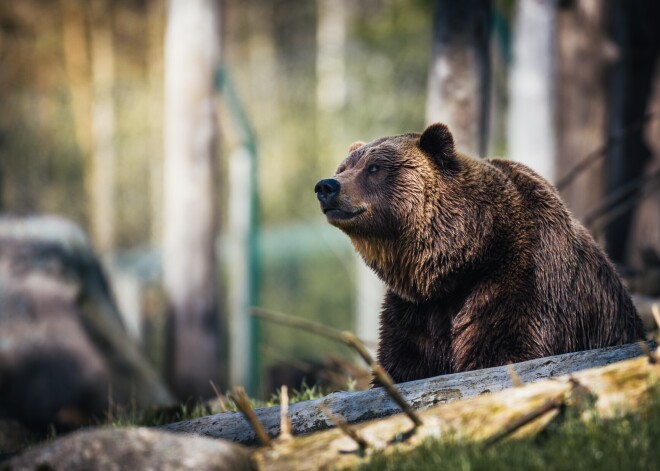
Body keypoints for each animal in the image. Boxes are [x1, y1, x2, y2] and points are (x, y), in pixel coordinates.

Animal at [314, 121, 644, 384]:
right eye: (343, 168)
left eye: (374, 168)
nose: (326, 186)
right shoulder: (416, 310)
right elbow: (404, 362)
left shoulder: (521, 278)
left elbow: (504, 349)